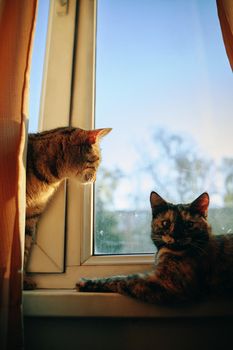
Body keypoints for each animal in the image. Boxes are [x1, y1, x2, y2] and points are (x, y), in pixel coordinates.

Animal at [76, 191, 233, 304]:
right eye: (165, 223)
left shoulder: (169, 284)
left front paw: (86, 282)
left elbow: (124, 279)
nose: (176, 235)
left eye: (188, 224)